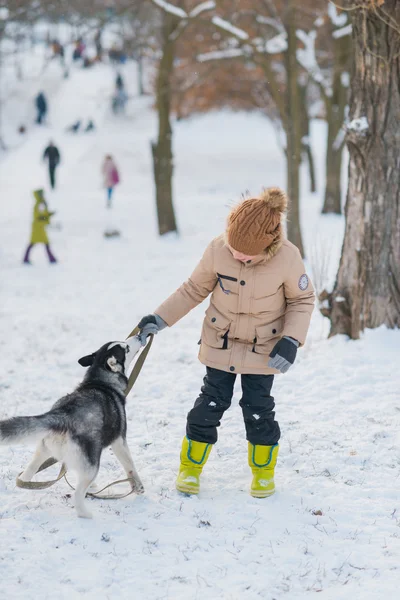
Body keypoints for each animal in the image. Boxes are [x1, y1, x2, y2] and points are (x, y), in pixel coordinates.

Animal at [0, 336, 144, 516]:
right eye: (126, 348)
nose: (138, 337)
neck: (100, 381)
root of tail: (63, 414)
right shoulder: (119, 441)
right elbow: (130, 465)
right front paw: (137, 486)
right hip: (91, 466)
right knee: (77, 494)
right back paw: (86, 514)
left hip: (45, 449)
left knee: (27, 473)